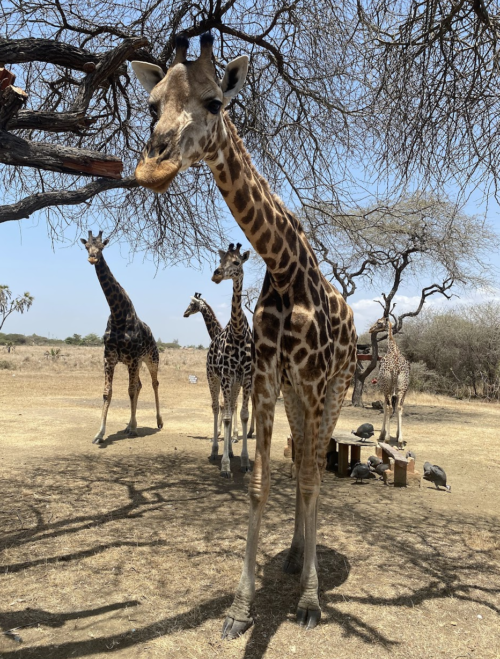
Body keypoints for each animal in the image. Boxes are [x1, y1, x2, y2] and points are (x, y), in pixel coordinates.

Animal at [80, 231, 162, 444]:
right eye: (86, 246)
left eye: (102, 246)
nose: (92, 258)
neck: (117, 314)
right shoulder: (109, 358)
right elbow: (107, 393)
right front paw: (99, 434)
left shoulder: (132, 359)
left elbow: (130, 390)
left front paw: (133, 429)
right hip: (135, 363)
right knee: (139, 385)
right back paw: (129, 424)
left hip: (150, 359)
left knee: (153, 383)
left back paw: (158, 422)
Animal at [131, 32, 358, 640]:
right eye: (151, 106)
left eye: (215, 102)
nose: (153, 167)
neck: (282, 266)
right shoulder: (268, 378)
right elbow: (261, 483)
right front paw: (239, 608)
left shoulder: (310, 380)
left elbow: (311, 477)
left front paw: (309, 603)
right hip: (299, 396)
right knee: (301, 460)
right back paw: (294, 555)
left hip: (334, 390)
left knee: (314, 465)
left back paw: (307, 570)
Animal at [368, 316, 410, 448]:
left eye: (379, 322)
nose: (371, 329)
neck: (393, 348)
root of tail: (396, 368)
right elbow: (396, 407)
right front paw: (396, 435)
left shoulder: (384, 388)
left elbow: (385, 407)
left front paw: (382, 434)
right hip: (403, 388)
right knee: (399, 407)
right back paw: (400, 441)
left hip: (387, 387)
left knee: (389, 406)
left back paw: (386, 439)